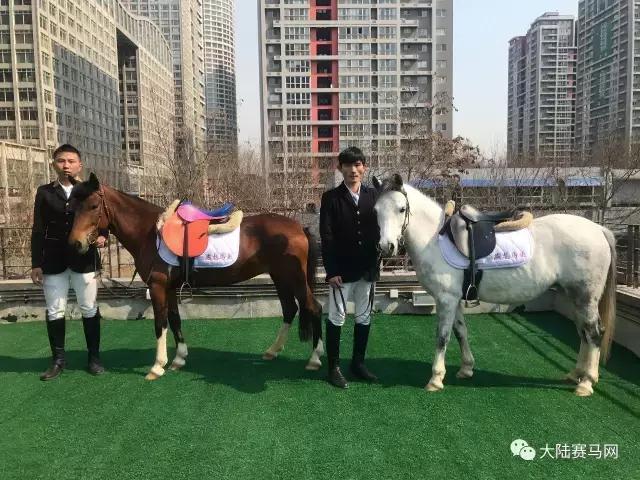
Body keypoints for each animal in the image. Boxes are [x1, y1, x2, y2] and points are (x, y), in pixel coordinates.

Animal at [67, 173, 324, 380]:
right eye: (71, 206)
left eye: (93, 205)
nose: (75, 243)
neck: (150, 233)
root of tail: (299, 227)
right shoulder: (170, 287)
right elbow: (175, 319)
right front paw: (179, 359)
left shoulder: (158, 286)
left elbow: (160, 323)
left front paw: (157, 366)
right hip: (281, 277)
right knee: (290, 309)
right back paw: (272, 351)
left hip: (295, 278)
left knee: (314, 308)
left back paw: (314, 359)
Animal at [373, 174, 617, 397]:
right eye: (376, 211)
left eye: (401, 209)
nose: (387, 247)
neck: (435, 240)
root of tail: (599, 230)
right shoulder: (455, 299)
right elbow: (461, 331)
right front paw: (466, 369)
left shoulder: (445, 299)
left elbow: (443, 337)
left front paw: (435, 379)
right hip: (575, 297)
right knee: (583, 333)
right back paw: (576, 374)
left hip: (585, 297)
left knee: (594, 333)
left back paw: (586, 383)